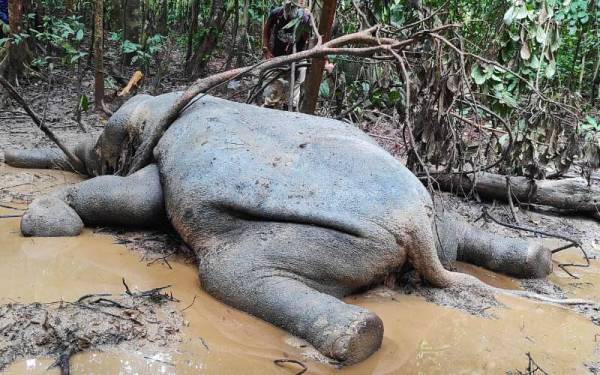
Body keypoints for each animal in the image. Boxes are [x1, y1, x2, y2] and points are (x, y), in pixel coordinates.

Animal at [3, 92, 552, 366]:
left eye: (98, 151)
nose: (10, 155)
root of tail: (413, 225)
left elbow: (129, 200)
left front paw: (45, 221)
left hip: (341, 239)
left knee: (232, 272)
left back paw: (358, 339)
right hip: (426, 216)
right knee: (454, 229)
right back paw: (538, 259)